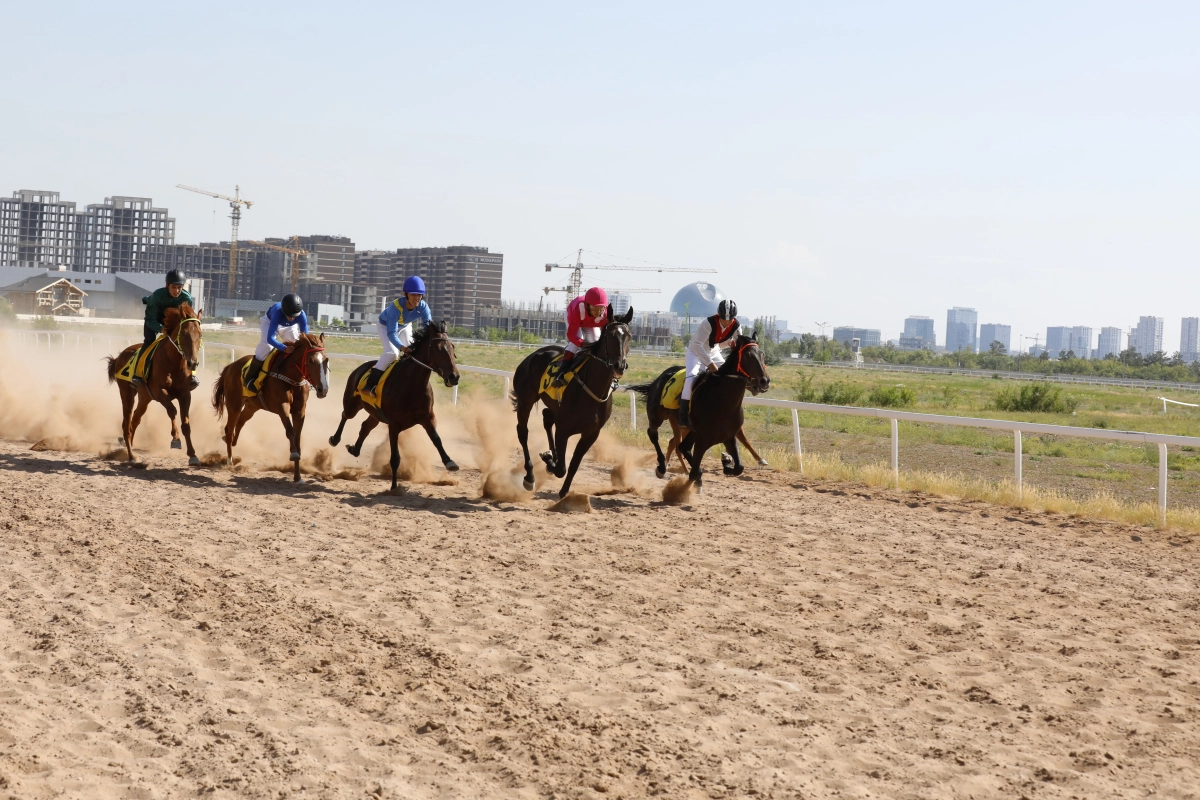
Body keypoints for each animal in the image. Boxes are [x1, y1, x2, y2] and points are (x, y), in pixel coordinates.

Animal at [106, 302, 205, 465]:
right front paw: (175, 438)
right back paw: (131, 456)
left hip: (144, 397)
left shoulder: (185, 394)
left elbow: (186, 423)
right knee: (127, 423)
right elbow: (172, 410)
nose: (193, 363)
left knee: (135, 420)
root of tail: (120, 356)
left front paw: (193, 455)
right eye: (184, 334)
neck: (173, 363)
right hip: (127, 393)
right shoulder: (160, 392)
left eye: (200, 334)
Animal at [212, 331, 331, 482]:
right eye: (311, 361)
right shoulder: (282, 406)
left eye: (326, 360)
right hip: (234, 404)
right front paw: (293, 454)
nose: (323, 389)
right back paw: (229, 460)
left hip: (252, 406)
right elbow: (290, 431)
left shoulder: (300, 410)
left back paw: (232, 443)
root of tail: (229, 367)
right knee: (229, 428)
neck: (292, 378)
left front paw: (297, 477)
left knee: (240, 423)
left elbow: (297, 438)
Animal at [328, 321, 463, 494]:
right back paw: (335, 439)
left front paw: (450, 462)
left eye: (452, 347)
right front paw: (393, 486)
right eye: (437, 349)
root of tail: (361, 367)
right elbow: (395, 458)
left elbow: (437, 439)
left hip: (376, 414)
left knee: (365, 426)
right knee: (345, 415)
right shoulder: (394, 425)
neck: (413, 385)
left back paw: (354, 449)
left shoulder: (428, 418)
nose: (454, 377)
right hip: (353, 403)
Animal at [508, 304, 633, 496]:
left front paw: (563, 492)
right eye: (609, 336)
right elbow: (561, 468)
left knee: (546, 417)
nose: (619, 366)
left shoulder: (591, 434)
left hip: (552, 407)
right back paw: (529, 477)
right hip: (525, 402)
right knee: (523, 432)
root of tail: (533, 355)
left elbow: (573, 464)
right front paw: (549, 461)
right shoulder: (563, 429)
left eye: (629, 336)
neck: (593, 388)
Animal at [667, 333, 768, 494]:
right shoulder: (704, 436)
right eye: (747, 356)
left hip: (688, 430)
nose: (764, 381)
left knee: (678, 445)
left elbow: (739, 462)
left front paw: (728, 460)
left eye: (762, 354)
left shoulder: (730, 433)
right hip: (678, 424)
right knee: (677, 445)